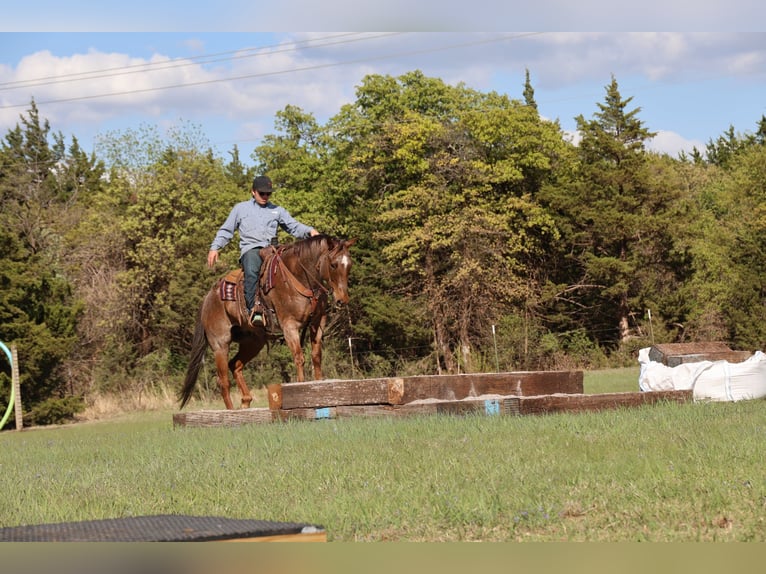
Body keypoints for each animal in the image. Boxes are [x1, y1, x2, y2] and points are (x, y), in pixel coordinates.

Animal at [179, 234, 356, 410]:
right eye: (333, 265)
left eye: (349, 265)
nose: (342, 300)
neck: (298, 278)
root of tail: (209, 297)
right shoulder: (289, 326)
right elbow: (299, 357)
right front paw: (301, 386)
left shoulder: (318, 322)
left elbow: (316, 356)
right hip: (220, 345)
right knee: (223, 381)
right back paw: (231, 411)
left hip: (253, 342)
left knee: (235, 365)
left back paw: (246, 400)